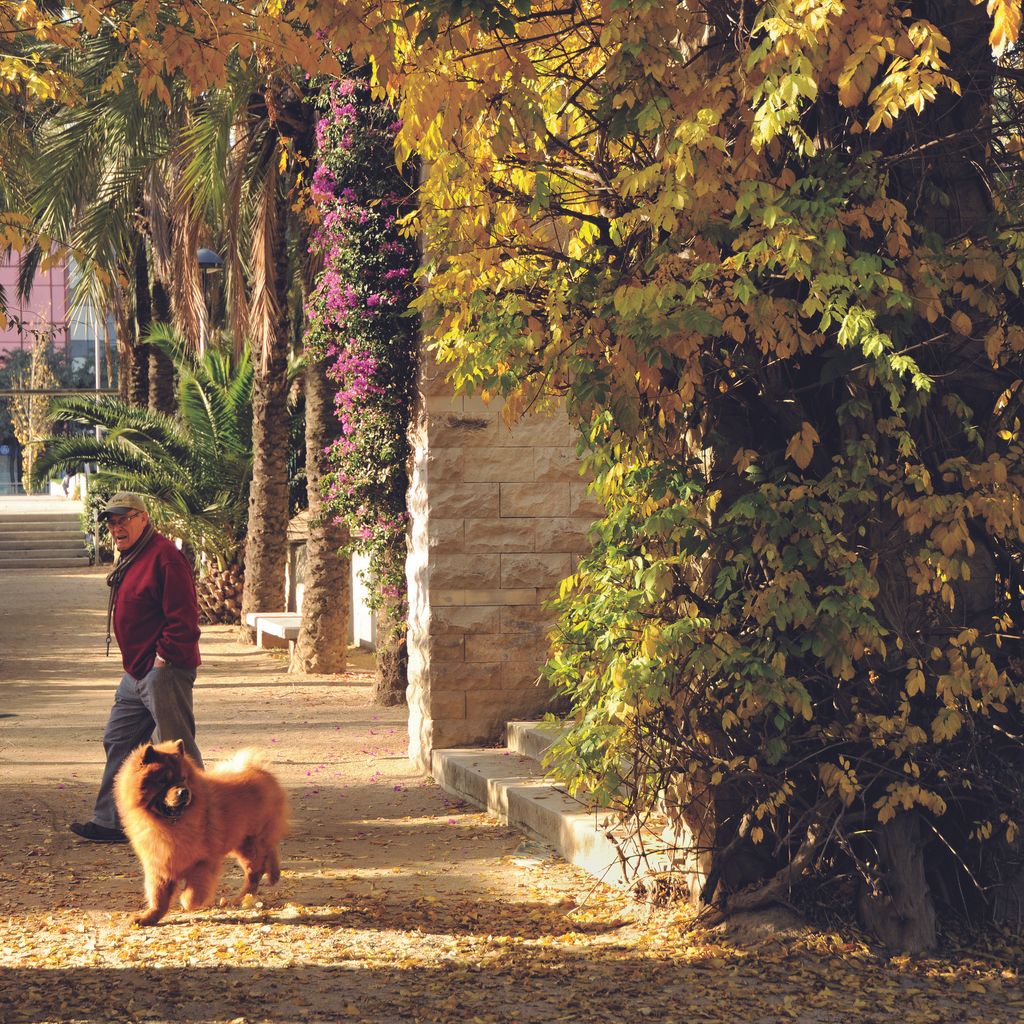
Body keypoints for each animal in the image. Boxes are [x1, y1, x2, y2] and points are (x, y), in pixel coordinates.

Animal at [113, 741, 288, 925]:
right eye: (163, 781)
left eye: (183, 778)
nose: (184, 791)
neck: (171, 826)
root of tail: (260, 771)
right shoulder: (160, 865)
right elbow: (158, 897)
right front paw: (147, 917)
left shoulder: (203, 862)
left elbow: (192, 895)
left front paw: (186, 901)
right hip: (242, 843)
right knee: (269, 851)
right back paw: (272, 875)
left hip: (250, 843)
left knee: (256, 869)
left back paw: (243, 897)